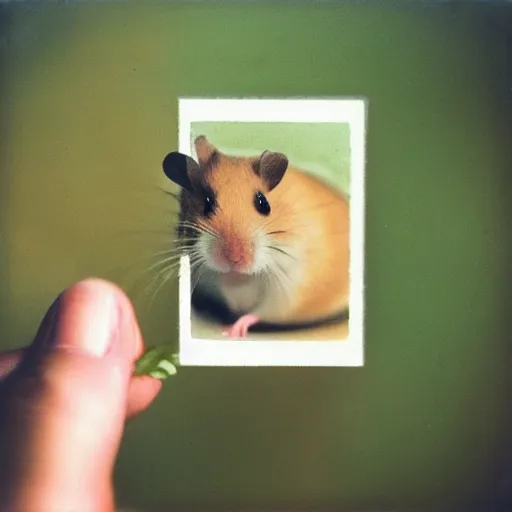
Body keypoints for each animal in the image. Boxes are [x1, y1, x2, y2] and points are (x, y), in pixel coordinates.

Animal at [162, 136, 350, 338]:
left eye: (263, 204)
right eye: (207, 203)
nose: (234, 261)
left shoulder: (295, 287)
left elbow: (259, 313)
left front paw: (231, 331)